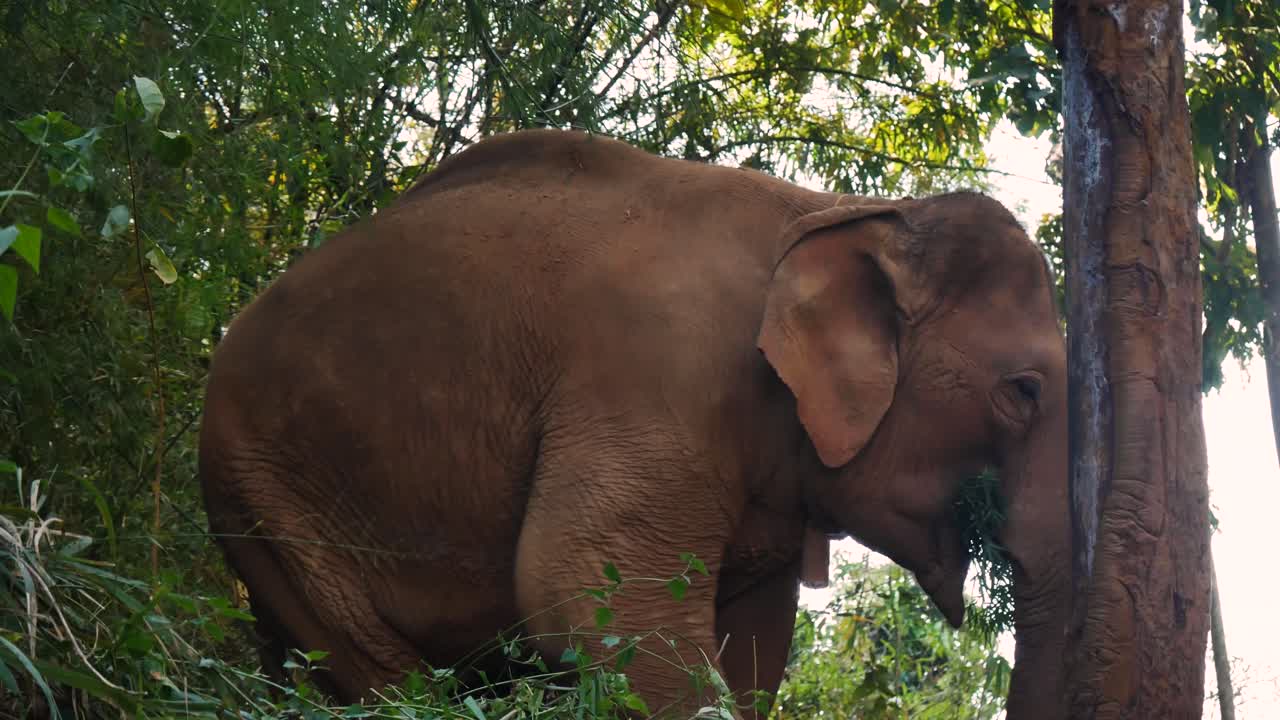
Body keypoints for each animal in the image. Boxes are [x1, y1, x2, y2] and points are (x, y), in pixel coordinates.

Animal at [199, 129, 1068, 718]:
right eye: (1023, 390)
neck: (838, 211)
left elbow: (752, 643)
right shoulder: (656, 373)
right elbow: (582, 588)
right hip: (265, 494)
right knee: (383, 673)